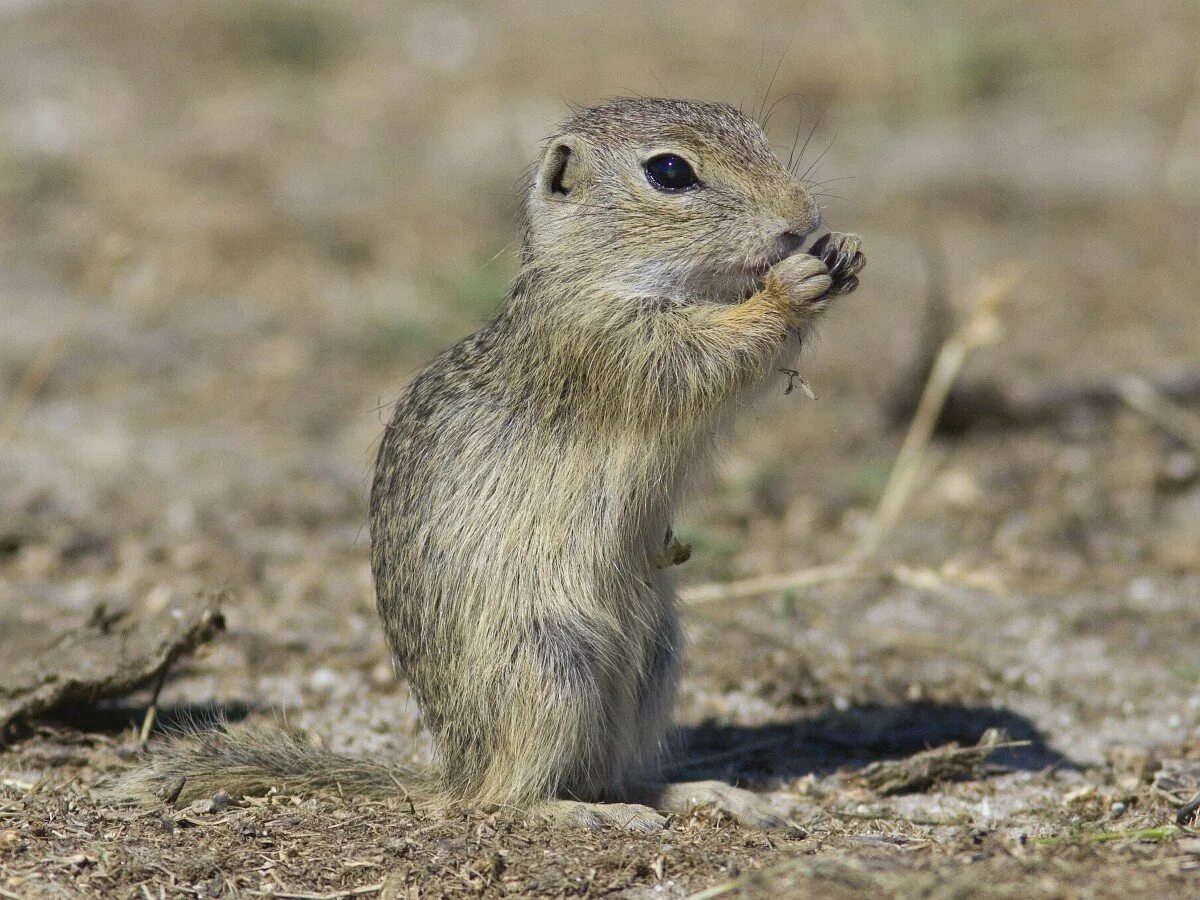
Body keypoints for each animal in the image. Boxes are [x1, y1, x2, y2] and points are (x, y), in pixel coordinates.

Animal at [119, 97, 864, 830]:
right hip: (550, 669)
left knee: (607, 775)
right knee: (509, 797)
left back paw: (708, 796)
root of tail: (454, 768)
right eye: (671, 171)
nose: (802, 219)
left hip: (652, 666)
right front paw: (794, 283)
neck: (597, 274)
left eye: (758, 131)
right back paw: (590, 816)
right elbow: (710, 357)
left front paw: (840, 257)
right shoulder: (615, 344)